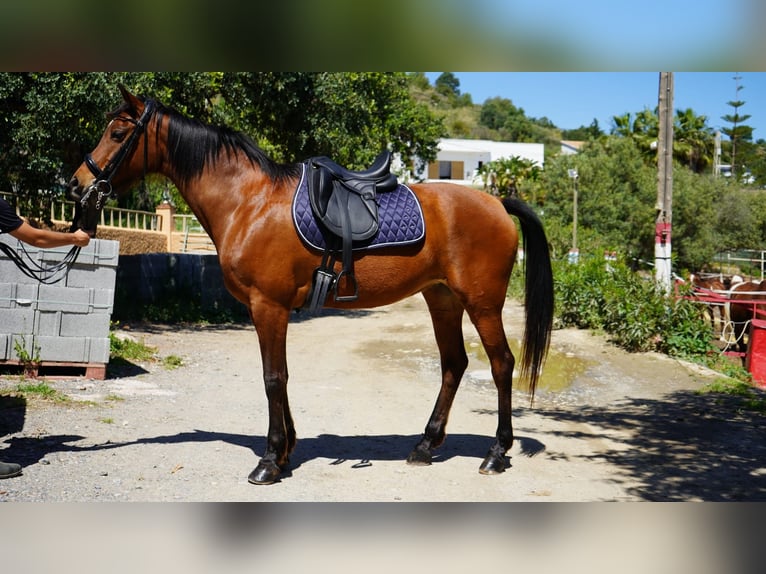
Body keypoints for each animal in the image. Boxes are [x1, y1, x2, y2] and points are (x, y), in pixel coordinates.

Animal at [66, 86, 554, 485]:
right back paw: (424, 446)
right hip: (443, 299)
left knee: (502, 364)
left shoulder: (267, 305)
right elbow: (281, 376)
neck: (249, 202)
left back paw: (496, 453)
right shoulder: (271, 309)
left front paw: (268, 461)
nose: (76, 184)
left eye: (116, 133)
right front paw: (285, 452)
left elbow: (272, 378)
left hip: (482, 303)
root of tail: (497, 201)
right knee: (454, 364)